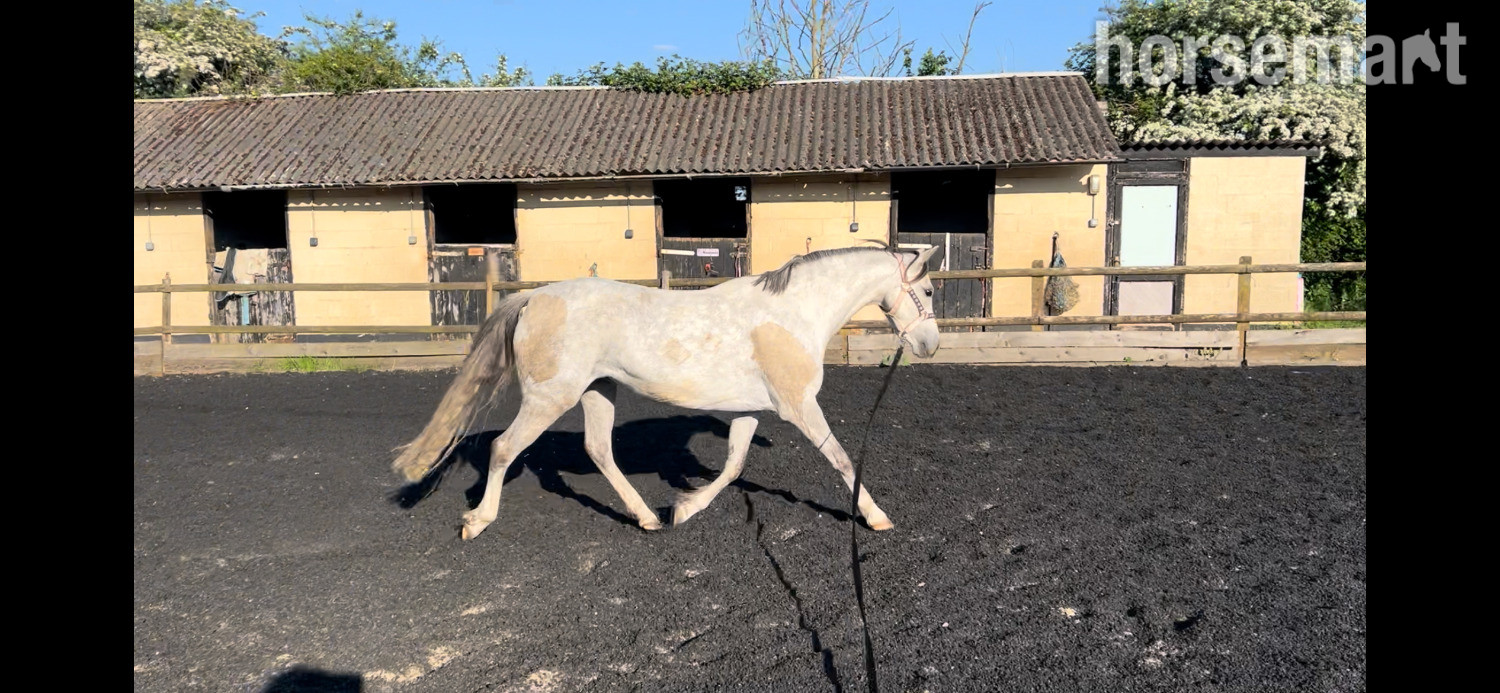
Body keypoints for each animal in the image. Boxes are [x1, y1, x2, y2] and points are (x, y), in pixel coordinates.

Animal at [392, 243, 942, 541]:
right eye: (929, 290)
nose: (929, 344)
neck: (792, 315)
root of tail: (534, 298)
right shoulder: (799, 407)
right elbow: (843, 460)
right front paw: (877, 518)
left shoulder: (749, 410)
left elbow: (734, 466)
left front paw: (682, 510)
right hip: (551, 398)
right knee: (505, 448)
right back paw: (477, 522)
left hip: (598, 390)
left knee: (599, 450)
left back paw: (646, 519)